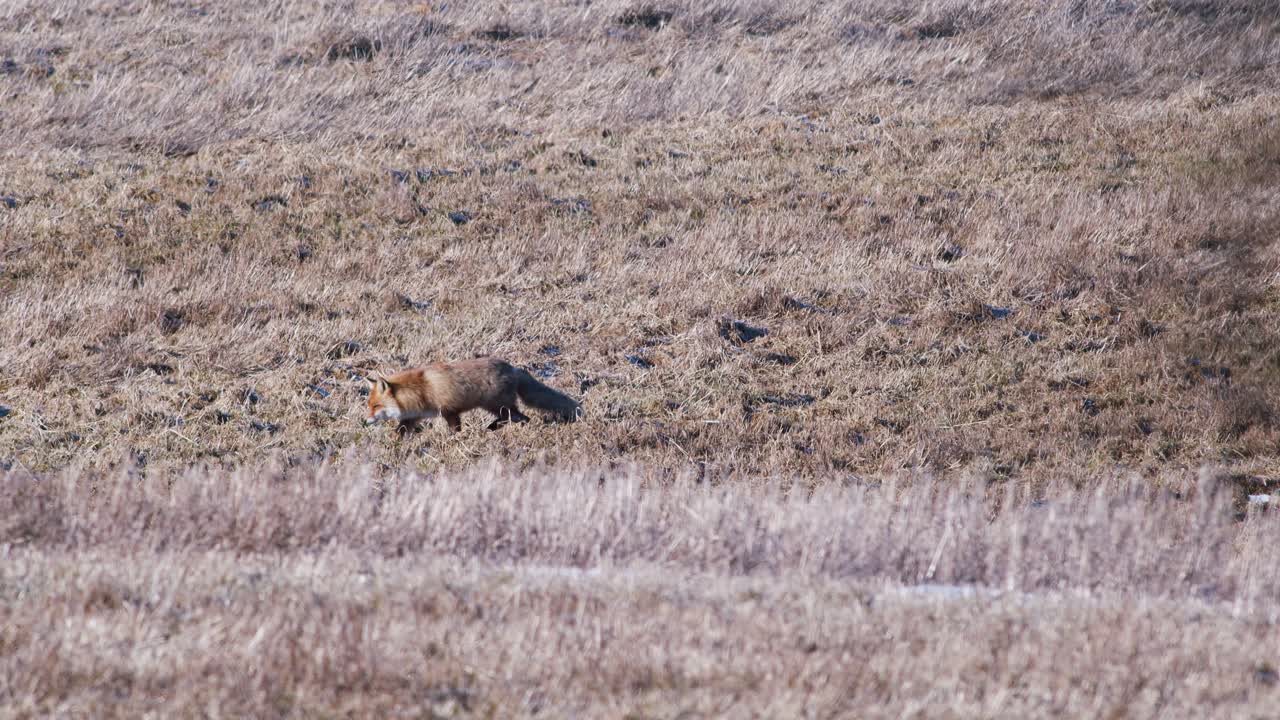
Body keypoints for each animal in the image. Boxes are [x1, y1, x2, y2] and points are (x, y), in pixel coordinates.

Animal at [364, 356, 582, 434]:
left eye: (376, 406)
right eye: (369, 406)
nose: (365, 421)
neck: (421, 390)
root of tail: (512, 367)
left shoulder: (450, 411)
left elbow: (455, 429)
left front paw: (455, 439)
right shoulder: (412, 418)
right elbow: (399, 433)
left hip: (497, 405)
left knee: (521, 417)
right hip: (497, 407)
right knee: (513, 418)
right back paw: (492, 428)